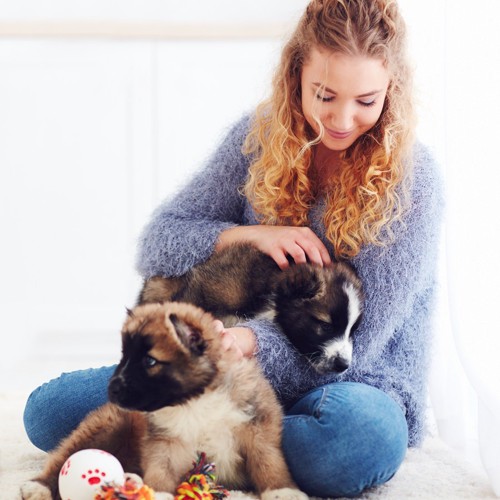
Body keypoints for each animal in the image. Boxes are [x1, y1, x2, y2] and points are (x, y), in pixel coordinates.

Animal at [21, 300, 306, 500]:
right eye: (124, 357)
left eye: (150, 361)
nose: (111, 389)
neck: (195, 401)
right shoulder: (164, 440)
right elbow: (162, 467)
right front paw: (156, 491)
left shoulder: (256, 426)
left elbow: (268, 460)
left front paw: (282, 490)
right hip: (104, 427)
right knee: (62, 456)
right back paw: (38, 486)